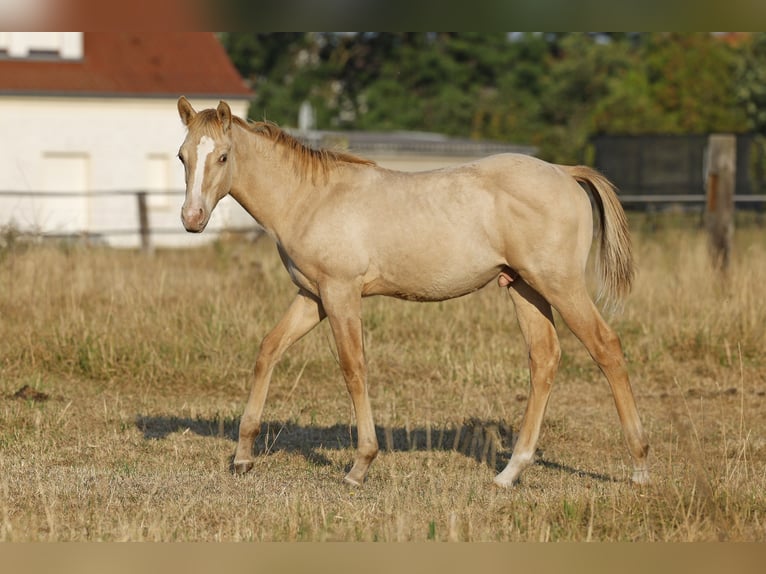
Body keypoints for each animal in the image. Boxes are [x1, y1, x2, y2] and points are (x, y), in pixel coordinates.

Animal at [175, 96, 650, 488]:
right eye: (183, 156)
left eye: (222, 155)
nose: (192, 219)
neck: (311, 198)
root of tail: (564, 173)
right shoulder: (313, 298)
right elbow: (268, 351)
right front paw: (243, 457)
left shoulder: (340, 294)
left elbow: (353, 369)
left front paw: (360, 466)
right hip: (524, 287)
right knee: (545, 358)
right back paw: (509, 473)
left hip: (560, 285)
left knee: (606, 347)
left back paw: (640, 466)